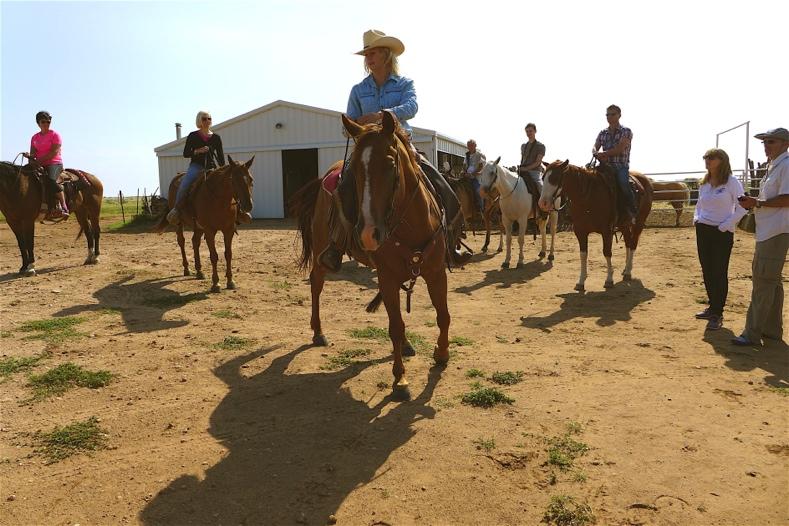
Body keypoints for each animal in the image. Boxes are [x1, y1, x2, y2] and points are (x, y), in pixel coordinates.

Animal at [154, 155, 252, 294]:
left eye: (250, 179)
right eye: (234, 180)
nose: (248, 205)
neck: (219, 200)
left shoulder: (228, 230)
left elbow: (228, 254)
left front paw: (230, 281)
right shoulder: (210, 231)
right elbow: (214, 256)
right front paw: (216, 283)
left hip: (199, 227)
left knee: (195, 242)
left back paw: (199, 271)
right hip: (179, 223)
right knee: (181, 241)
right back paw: (187, 269)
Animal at [290, 110, 450, 392]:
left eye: (390, 163)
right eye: (354, 169)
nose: (368, 233)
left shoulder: (435, 273)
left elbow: (443, 316)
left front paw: (441, 354)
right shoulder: (386, 277)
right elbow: (395, 326)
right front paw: (400, 379)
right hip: (322, 252)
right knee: (316, 284)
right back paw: (318, 332)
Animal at [536, 161, 652, 292]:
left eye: (555, 178)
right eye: (543, 178)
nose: (542, 203)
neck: (588, 197)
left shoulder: (606, 231)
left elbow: (607, 252)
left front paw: (609, 280)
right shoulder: (580, 231)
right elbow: (583, 254)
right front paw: (581, 282)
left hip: (639, 223)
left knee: (633, 244)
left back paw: (628, 272)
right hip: (624, 225)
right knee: (628, 242)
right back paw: (626, 269)